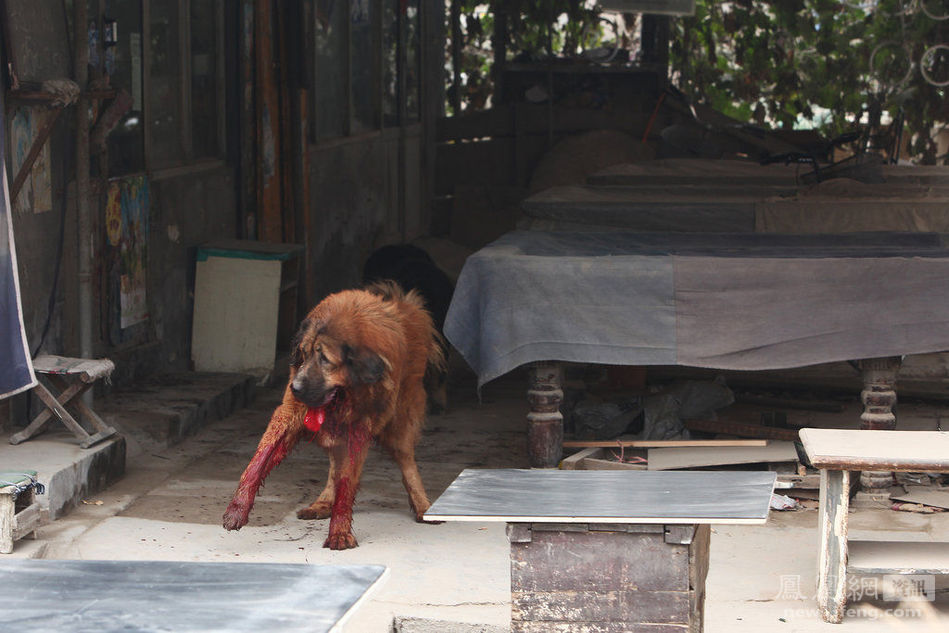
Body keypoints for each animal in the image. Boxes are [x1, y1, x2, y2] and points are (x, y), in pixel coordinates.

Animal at [222, 282, 444, 548]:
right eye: (304, 354)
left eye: (325, 359)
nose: (296, 387)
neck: (341, 396)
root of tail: (403, 308)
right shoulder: (290, 414)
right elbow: (258, 462)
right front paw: (237, 510)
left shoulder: (358, 427)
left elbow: (347, 482)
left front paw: (339, 532)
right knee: (334, 466)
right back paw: (324, 502)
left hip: (399, 422)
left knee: (406, 461)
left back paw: (423, 505)